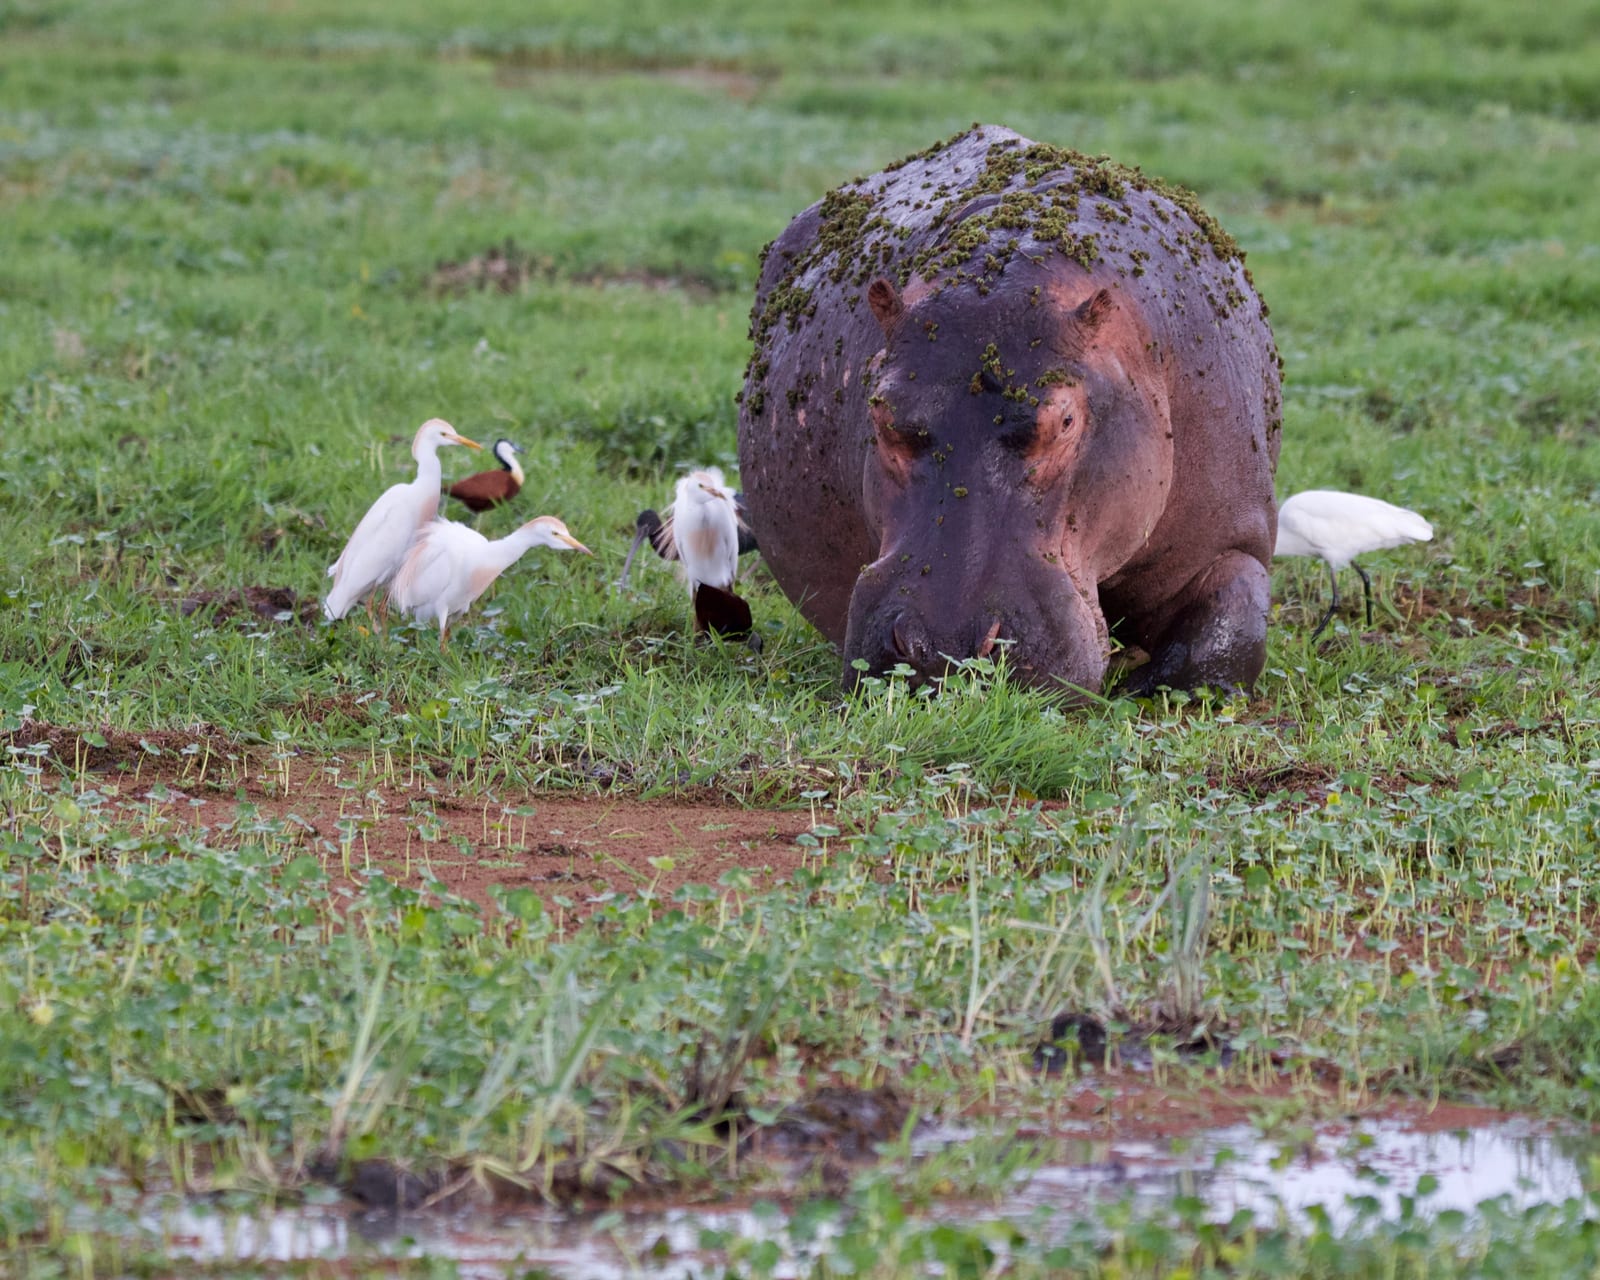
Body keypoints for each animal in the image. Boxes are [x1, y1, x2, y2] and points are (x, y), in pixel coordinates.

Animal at [737, 125, 1281, 697]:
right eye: (880, 414)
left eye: (1066, 420)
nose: (946, 647)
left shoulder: (1231, 531)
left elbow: (1231, 624)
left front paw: (1140, 687)